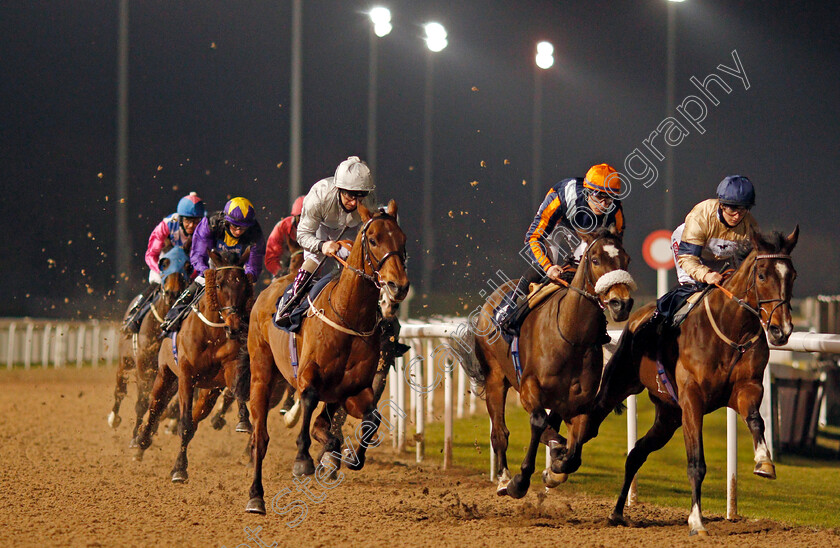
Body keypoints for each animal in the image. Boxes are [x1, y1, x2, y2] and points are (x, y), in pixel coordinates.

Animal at [109, 244, 191, 440]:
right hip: (125, 360)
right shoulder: (143, 365)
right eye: (164, 263)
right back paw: (113, 418)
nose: (172, 293)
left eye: (187, 265)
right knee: (120, 389)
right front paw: (135, 435)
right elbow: (142, 401)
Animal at [133, 250, 253, 482]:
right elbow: (184, 423)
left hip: (208, 392)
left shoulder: (229, 366)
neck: (212, 334)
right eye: (219, 284)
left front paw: (243, 420)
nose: (234, 326)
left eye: (244, 285)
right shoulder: (186, 377)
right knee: (154, 404)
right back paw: (141, 439)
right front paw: (179, 469)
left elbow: (237, 389)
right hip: (165, 373)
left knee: (195, 420)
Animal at [244, 201, 408, 512]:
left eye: (403, 241)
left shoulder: (353, 389)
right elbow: (308, 401)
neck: (348, 315)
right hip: (262, 375)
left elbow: (371, 418)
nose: (398, 286)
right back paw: (255, 496)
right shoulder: (308, 377)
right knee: (260, 436)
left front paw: (346, 456)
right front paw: (303, 460)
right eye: (373, 240)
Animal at [460, 227, 636, 496]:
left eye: (626, 260)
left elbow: (576, 446)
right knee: (500, 432)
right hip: (495, 377)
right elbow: (539, 422)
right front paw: (520, 481)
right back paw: (504, 478)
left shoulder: (580, 402)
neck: (572, 337)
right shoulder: (529, 388)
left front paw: (555, 468)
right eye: (596, 260)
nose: (621, 303)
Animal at [580, 226, 796, 536]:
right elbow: (696, 463)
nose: (782, 329)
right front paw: (696, 521)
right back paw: (556, 468)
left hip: (668, 416)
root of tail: (633, 320)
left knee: (636, 453)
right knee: (590, 424)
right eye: (763, 275)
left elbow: (756, 419)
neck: (732, 329)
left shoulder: (748, 387)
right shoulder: (692, 400)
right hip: (618, 386)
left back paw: (618, 512)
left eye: (792, 275)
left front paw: (764, 462)